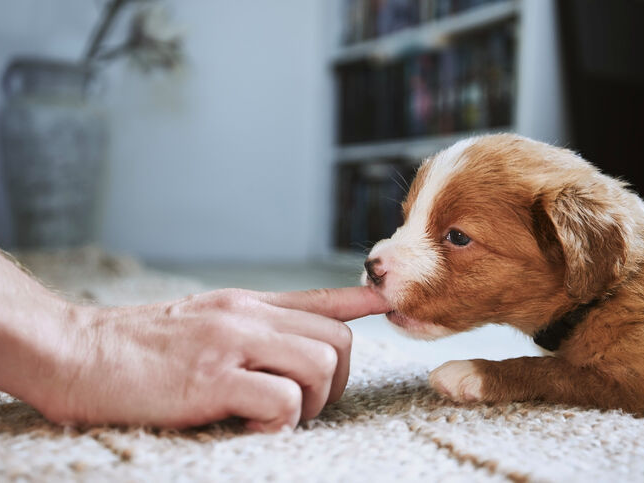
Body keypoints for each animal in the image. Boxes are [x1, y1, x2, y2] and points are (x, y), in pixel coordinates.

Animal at [362, 134, 644, 414]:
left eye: (458, 237)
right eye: (405, 217)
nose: (371, 268)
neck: (600, 300)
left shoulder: (627, 382)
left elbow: (558, 371)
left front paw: (471, 371)